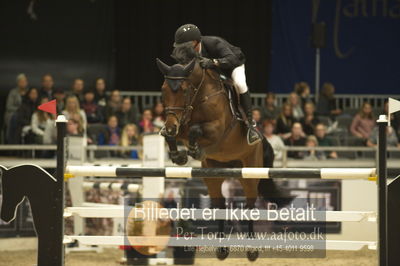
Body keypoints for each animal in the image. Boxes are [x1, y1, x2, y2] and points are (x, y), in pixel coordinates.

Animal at [155, 48, 290, 260]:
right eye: (163, 90)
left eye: (184, 90)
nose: (170, 125)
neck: (199, 95)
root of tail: (261, 141)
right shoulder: (180, 124)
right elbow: (177, 134)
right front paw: (179, 155)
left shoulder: (217, 129)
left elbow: (195, 130)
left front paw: (193, 150)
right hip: (214, 175)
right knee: (220, 206)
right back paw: (221, 249)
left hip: (249, 173)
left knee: (250, 205)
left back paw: (252, 249)